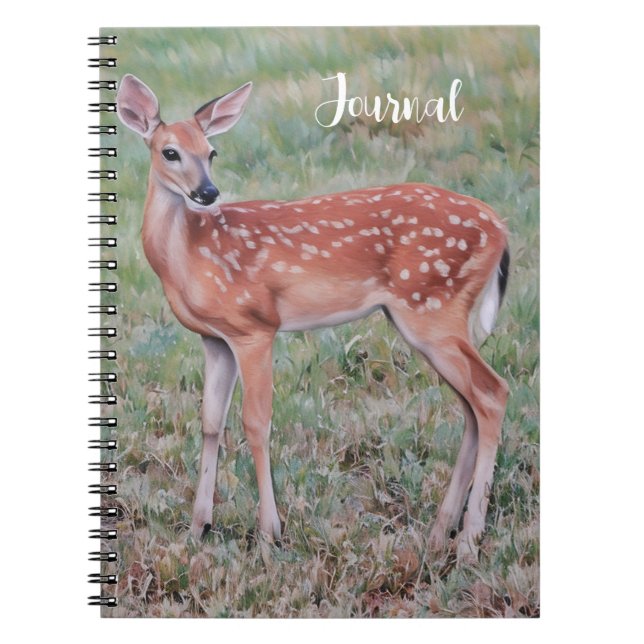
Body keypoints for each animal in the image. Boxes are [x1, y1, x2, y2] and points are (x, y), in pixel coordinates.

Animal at [116, 73, 510, 561]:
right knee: (471, 405)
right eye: (170, 152)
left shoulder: (255, 326)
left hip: (432, 309)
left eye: (211, 152)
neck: (189, 256)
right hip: (431, 318)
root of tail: (501, 228)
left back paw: (470, 541)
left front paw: (269, 533)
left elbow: (256, 422)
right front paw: (197, 529)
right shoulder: (215, 338)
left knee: (492, 393)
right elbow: (210, 422)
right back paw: (441, 533)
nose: (208, 193)